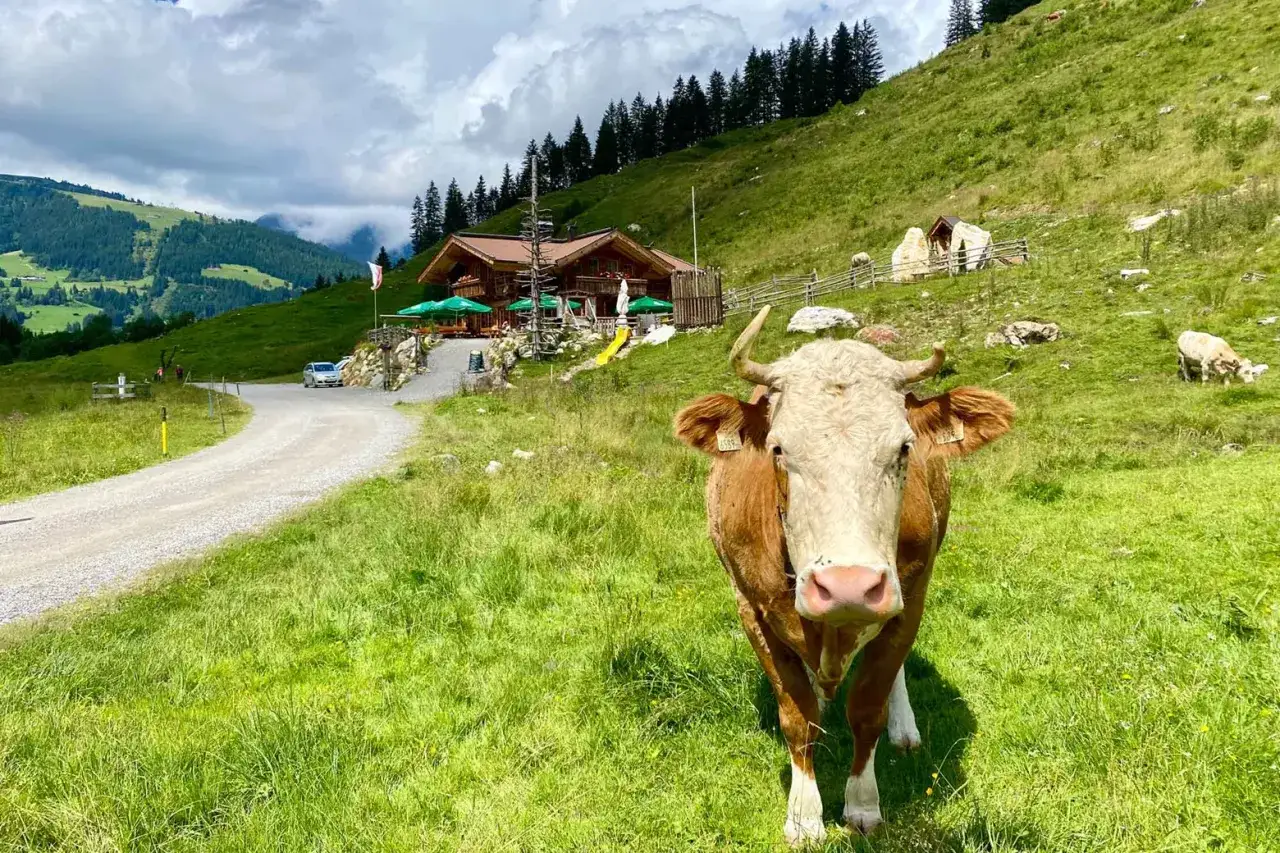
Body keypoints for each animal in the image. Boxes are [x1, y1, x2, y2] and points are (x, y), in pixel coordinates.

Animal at [674, 306, 1014, 845]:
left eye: (904, 448)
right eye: (777, 449)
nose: (848, 587)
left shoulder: (909, 600)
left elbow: (868, 707)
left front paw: (862, 804)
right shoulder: (751, 609)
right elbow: (797, 717)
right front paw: (804, 815)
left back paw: (904, 728)